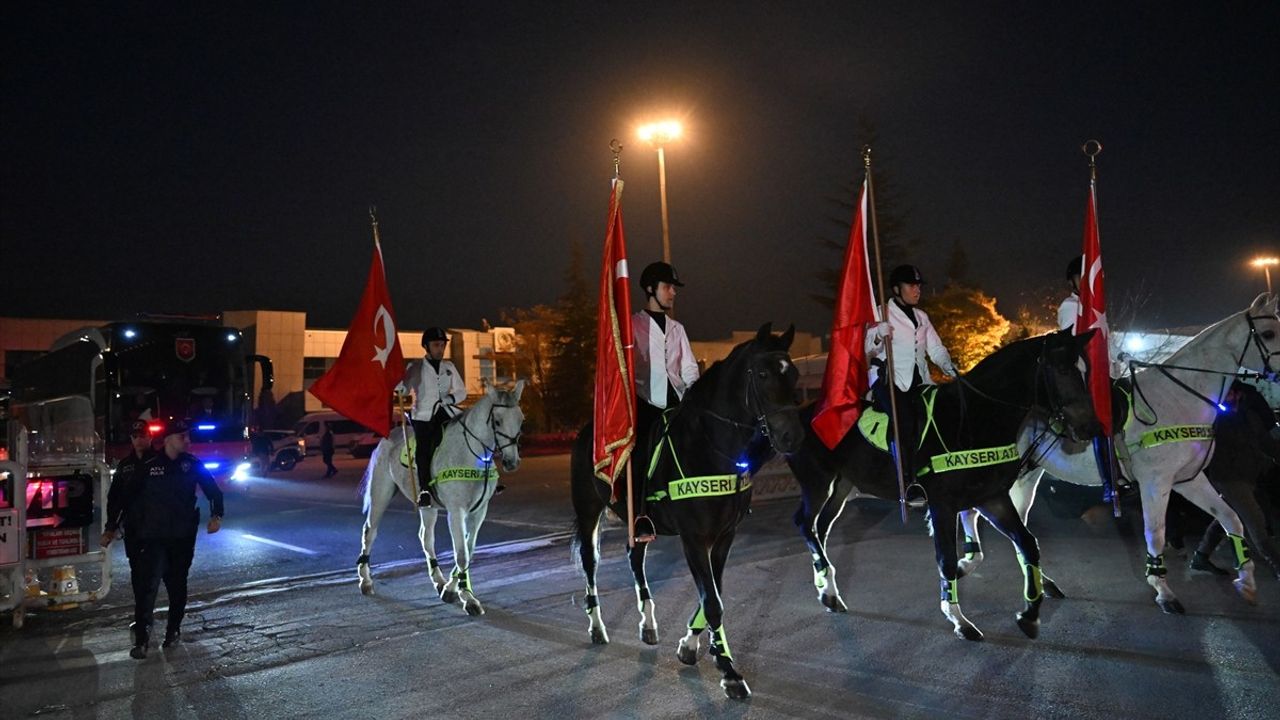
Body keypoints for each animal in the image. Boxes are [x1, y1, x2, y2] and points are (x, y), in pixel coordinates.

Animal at [355, 379, 524, 614]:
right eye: (497, 421)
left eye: (521, 420)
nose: (511, 462)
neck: (470, 454)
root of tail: (387, 438)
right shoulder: (456, 511)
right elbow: (461, 552)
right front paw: (468, 598)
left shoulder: (479, 511)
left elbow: (469, 549)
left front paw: (453, 589)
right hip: (381, 493)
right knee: (370, 531)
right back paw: (365, 581)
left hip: (429, 506)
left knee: (426, 538)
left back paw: (438, 580)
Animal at [570, 322, 798, 696]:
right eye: (763, 373)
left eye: (792, 374)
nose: (794, 436)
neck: (712, 447)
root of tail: (589, 430)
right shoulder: (693, 538)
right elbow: (713, 603)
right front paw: (729, 672)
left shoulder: (724, 536)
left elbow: (714, 593)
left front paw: (692, 645)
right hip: (588, 511)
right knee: (591, 562)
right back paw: (596, 626)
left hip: (636, 519)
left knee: (635, 558)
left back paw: (648, 622)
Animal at [778, 330, 1100, 638]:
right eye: (1063, 369)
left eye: (1085, 370)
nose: (1091, 428)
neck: (973, 419)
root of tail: (799, 416)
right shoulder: (942, 504)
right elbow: (946, 559)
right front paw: (959, 620)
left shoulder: (992, 498)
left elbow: (1028, 544)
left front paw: (1030, 615)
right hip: (817, 483)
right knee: (805, 524)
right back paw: (828, 586)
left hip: (843, 486)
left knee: (820, 528)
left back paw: (828, 590)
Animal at [962, 292, 1280, 609]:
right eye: (1268, 333)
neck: (1177, 397)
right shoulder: (1155, 482)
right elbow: (1155, 533)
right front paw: (1163, 590)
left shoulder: (1188, 480)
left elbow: (1231, 518)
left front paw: (1246, 582)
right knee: (975, 513)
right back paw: (970, 561)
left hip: (1028, 474)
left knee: (1014, 524)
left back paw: (1040, 582)